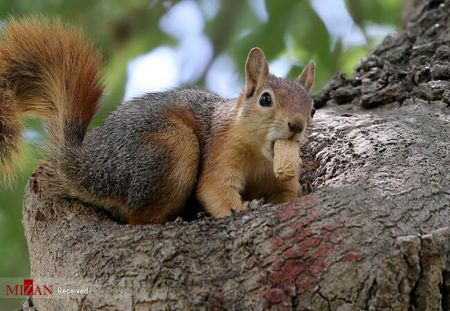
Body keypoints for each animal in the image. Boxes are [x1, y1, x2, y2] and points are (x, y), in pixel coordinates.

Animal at [0, 17, 314, 224]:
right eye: (265, 99)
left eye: (311, 108)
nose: (296, 125)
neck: (261, 158)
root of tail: (84, 166)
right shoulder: (221, 150)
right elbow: (214, 189)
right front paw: (243, 208)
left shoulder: (280, 179)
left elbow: (287, 194)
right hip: (171, 145)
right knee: (139, 218)